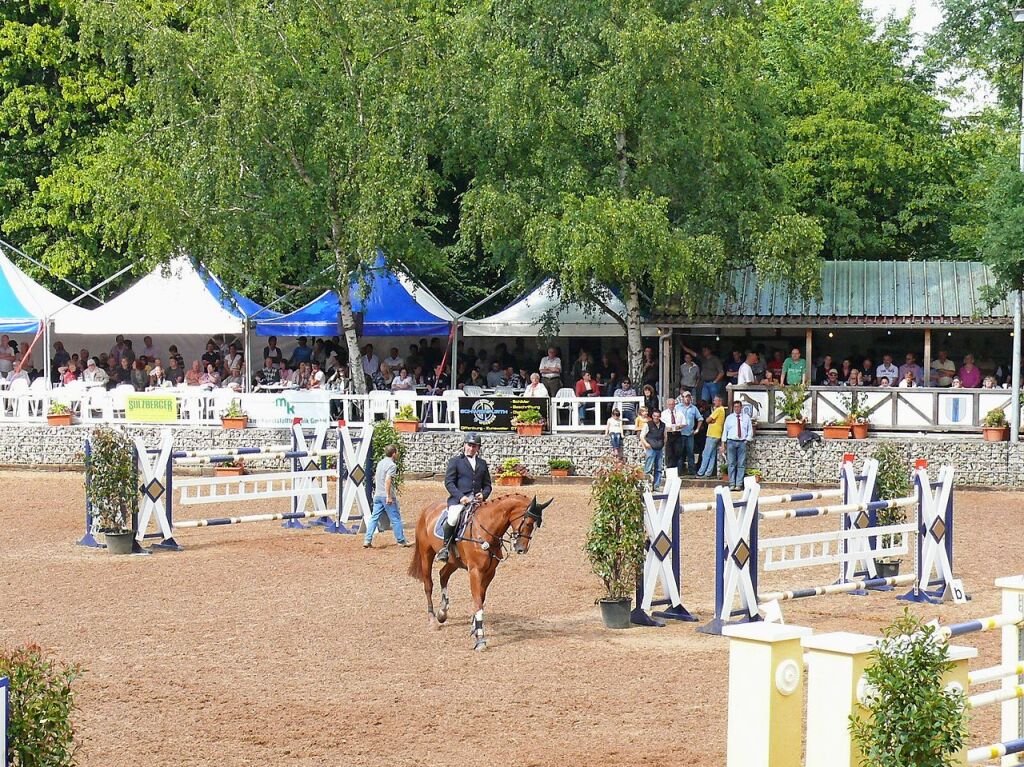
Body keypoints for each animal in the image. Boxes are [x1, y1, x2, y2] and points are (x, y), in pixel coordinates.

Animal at [407, 493, 552, 651]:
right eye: (528, 523)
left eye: (536, 526)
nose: (521, 549)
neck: (486, 530)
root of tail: (428, 508)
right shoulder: (475, 571)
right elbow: (477, 603)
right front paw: (480, 639)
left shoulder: (489, 572)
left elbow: (481, 599)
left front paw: (474, 628)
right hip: (426, 554)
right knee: (428, 585)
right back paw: (433, 619)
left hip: (453, 561)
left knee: (443, 575)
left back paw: (442, 613)